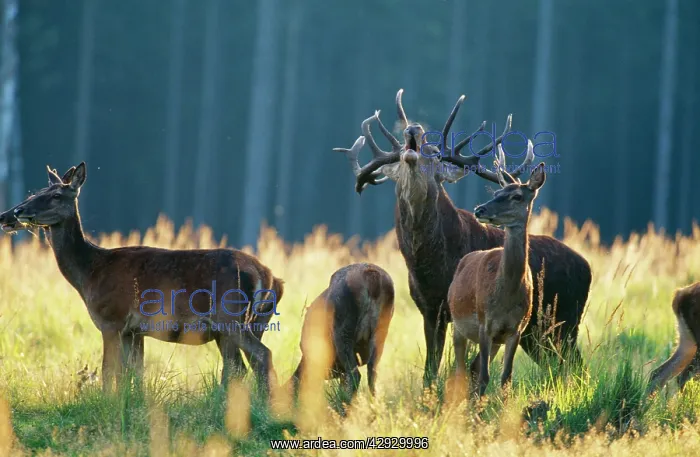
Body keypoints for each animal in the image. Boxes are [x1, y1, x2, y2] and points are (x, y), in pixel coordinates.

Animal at [0, 162, 283, 394]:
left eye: (56, 196)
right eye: (34, 193)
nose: (11, 214)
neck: (90, 273)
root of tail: (268, 275)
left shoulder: (112, 319)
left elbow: (109, 371)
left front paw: (107, 403)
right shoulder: (134, 330)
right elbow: (133, 374)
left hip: (230, 317)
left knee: (260, 356)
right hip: (253, 322)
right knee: (240, 366)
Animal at [448, 147, 546, 397]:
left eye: (517, 196)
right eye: (498, 191)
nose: (479, 209)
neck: (506, 296)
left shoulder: (514, 330)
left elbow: (506, 378)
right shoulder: (485, 324)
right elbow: (485, 376)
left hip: (495, 341)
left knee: (472, 368)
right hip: (457, 326)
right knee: (461, 372)